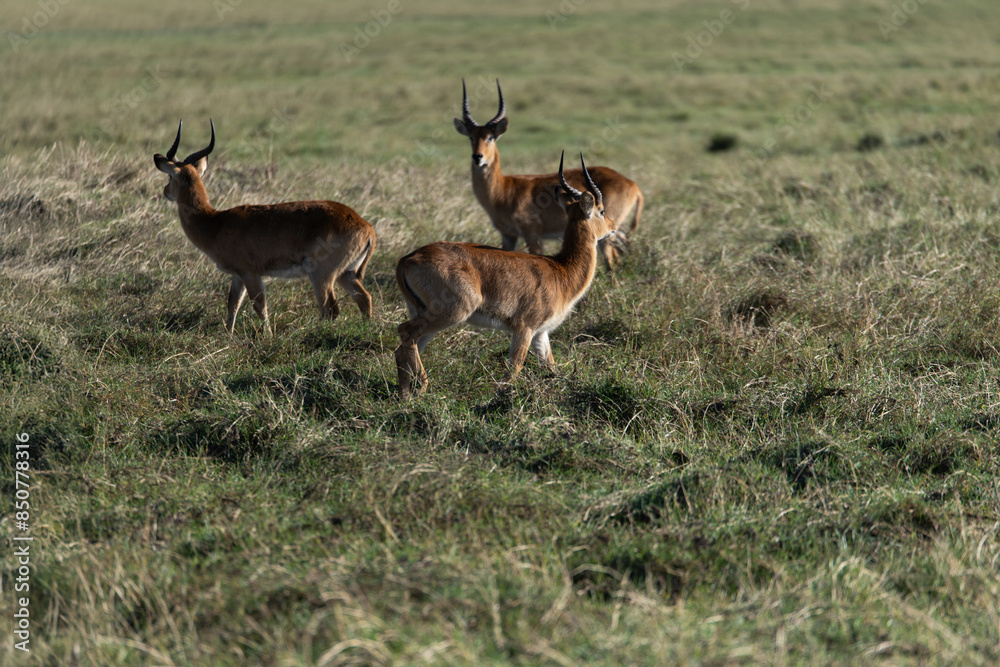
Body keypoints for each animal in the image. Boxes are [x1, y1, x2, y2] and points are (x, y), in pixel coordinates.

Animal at [153, 120, 375, 335]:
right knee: (364, 299)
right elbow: (232, 304)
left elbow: (259, 305)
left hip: (321, 275)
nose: (165, 191)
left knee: (330, 308)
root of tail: (366, 227)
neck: (215, 222)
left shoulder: (250, 272)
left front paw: (267, 335)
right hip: (346, 274)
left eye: (170, 176)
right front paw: (228, 335)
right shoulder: (238, 275)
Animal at [394, 151, 617, 397]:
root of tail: (408, 259)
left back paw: (405, 395)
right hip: (452, 312)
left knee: (403, 347)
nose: (613, 227)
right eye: (601, 210)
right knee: (404, 331)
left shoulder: (541, 333)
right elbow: (514, 368)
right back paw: (422, 387)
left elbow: (551, 366)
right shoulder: (524, 328)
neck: (561, 269)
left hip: (423, 314)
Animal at [453, 79, 643, 269]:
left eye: (490, 137)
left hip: (608, 234)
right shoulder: (508, 235)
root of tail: (633, 184)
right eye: (471, 137)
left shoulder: (532, 233)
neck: (503, 190)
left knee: (613, 258)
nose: (478, 157)